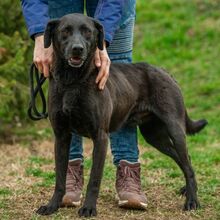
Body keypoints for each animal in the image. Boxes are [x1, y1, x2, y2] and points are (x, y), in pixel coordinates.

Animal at [35, 14, 206, 218]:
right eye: (65, 31)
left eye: (87, 31)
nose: (78, 49)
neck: (72, 81)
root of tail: (165, 72)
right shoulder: (61, 136)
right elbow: (60, 178)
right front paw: (52, 205)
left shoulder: (100, 137)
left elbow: (94, 179)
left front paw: (89, 208)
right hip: (155, 136)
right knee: (185, 160)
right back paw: (188, 190)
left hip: (175, 129)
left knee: (187, 163)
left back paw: (192, 201)